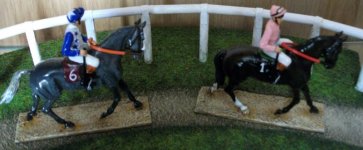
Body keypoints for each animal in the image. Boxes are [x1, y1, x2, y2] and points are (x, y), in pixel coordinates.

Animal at [1, 19, 147, 127]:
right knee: (46, 109)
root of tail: (32, 70)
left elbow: (128, 90)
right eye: (141, 38)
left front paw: (137, 103)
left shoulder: (118, 78)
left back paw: (30, 116)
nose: (139, 56)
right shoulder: (110, 83)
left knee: (34, 105)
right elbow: (117, 99)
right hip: (53, 94)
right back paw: (67, 123)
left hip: (38, 93)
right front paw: (104, 114)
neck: (106, 57)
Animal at [212, 31, 348, 115]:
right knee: (228, 89)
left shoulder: (302, 83)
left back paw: (213, 88)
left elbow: (308, 96)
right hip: (238, 78)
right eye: (337, 50)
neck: (301, 58)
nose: (330, 65)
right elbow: (297, 100)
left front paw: (313, 108)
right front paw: (281, 111)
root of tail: (227, 51)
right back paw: (243, 107)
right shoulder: (296, 85)